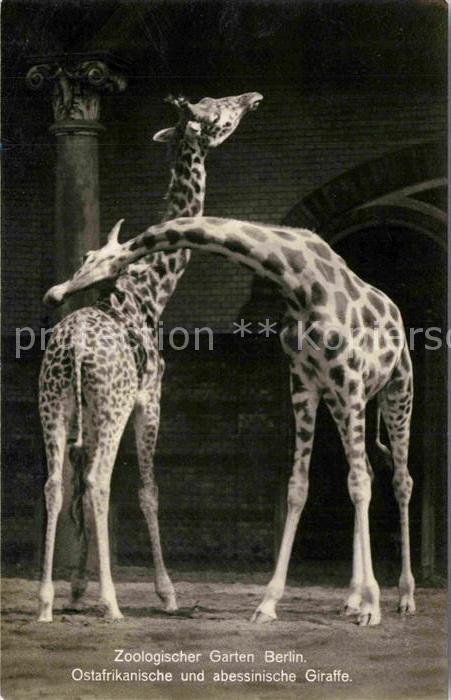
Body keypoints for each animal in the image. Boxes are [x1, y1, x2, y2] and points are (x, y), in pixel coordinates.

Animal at [37, 92, 263, 622]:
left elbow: (79, 489)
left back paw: (45, 603)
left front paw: (75, 588)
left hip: (54, 404)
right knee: (98, 480)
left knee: (56, 484)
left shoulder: (86, 414)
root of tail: (74, 348)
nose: (251, 98)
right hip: (112, 405)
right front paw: (167, 592)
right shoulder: (149, 398)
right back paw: (112, 604)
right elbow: (148, 490)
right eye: (219, 113)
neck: (151, 290)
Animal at [45, 215, 416, 627]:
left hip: (396, 387)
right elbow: (299, 487)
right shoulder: (305, 384)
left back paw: (403, 597)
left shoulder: (349, 379)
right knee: (367, 468)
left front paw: (373, 604)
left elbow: (358, 486)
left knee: (399, 480)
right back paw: (350, 598)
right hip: (342, 402)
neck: (300, 282)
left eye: (91, 258)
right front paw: (269, 603)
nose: (54, 294)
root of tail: (396, 310)